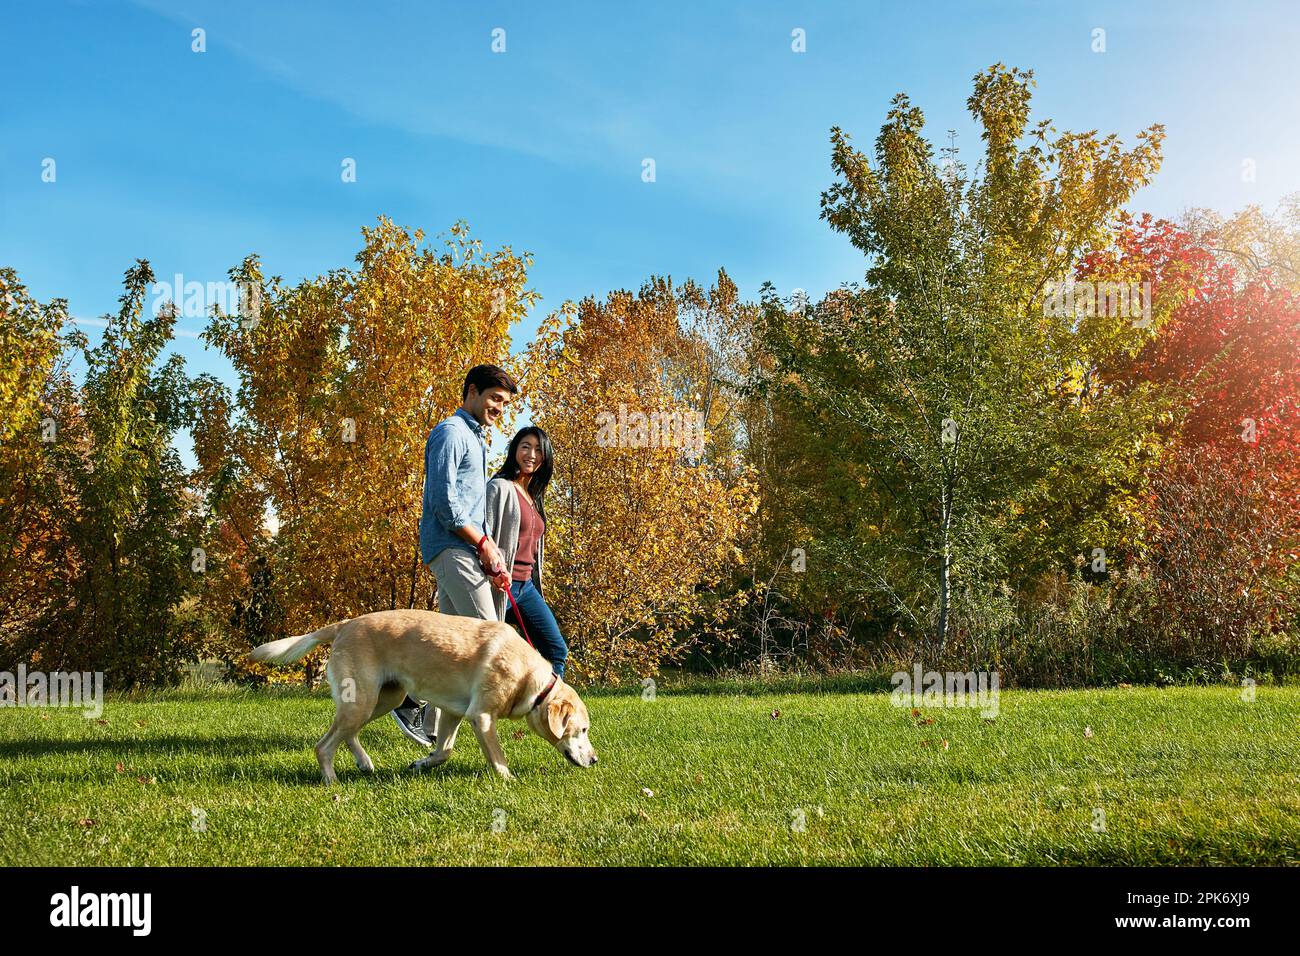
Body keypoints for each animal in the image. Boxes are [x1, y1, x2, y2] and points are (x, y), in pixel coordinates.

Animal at [249, 608, 598, 780]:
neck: (529, 678)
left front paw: (422, 763)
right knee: (324, 746)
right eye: (582, 730)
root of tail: (345, 624)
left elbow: (444, 751)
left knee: (347, 735)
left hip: (382, 699)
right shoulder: (482, 717)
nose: (595, 760)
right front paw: (508, 780)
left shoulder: (455, 713)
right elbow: (497, 757)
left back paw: (364, 763)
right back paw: (332, 782)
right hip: (362, 702)